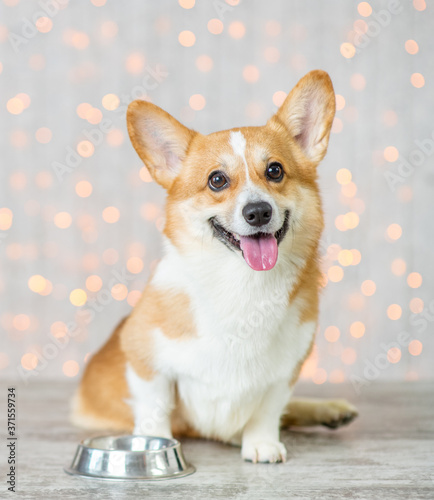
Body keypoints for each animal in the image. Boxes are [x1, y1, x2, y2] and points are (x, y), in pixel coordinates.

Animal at [73, 69, 358, 460]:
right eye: (217, 180)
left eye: (275, 170)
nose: (258, 212)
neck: (242, 283)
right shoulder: (146, 362)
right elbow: (154, 409)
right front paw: (151, 446)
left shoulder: (285, 372)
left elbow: (269, 410)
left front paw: (261, 443)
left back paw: (329, 411)